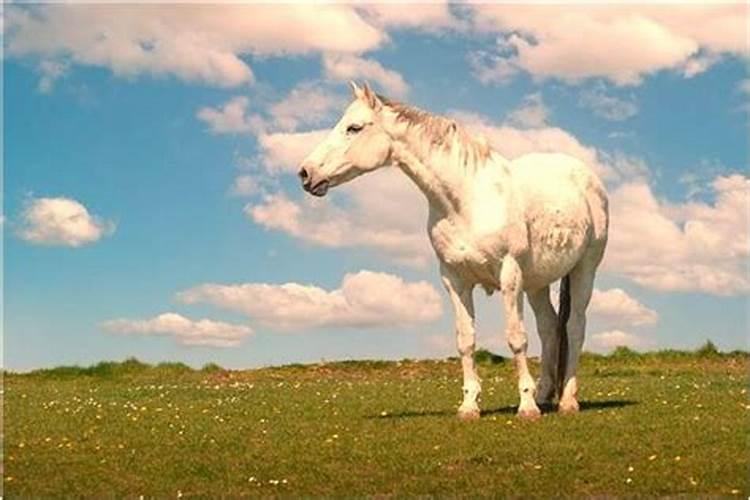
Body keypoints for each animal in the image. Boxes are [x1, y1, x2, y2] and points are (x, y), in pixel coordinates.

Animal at [300, 84, 612, 420]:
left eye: (354, 128)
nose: (305, 173)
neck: (466, 201)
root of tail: (586, 177)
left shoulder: (509, 275)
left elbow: (516, 338)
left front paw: (526, 408)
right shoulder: (455, 280)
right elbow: (466, 341)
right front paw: (469, 406)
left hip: (584, 270)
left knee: (574, 327)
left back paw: (567, 401)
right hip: (537, 284)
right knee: (550, 329)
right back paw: (544, 396)